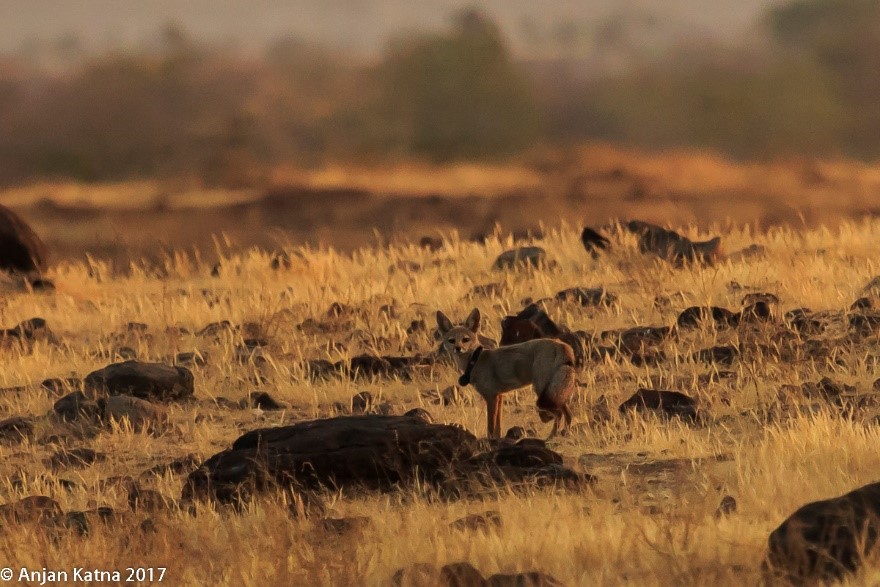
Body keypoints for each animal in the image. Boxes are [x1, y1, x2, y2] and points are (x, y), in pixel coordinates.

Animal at [436, 308, 578, 439]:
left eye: (465, 339)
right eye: (451, 340)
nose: (458, 348)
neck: (475, 360)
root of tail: (561, 344)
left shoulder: (491, 397)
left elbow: (490, 427)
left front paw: (490, 441)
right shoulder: (500, 396)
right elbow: (498, 427)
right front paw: (499, 440)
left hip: (542, 392)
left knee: (559, 414)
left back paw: (552, 437)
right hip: (554, 394)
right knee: (569, 414)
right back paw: (565, 434)